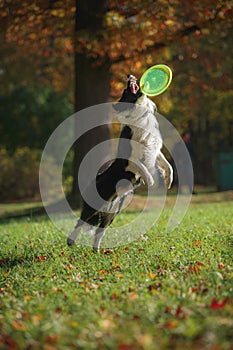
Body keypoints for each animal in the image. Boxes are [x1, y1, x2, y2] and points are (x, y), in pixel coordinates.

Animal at [67, 74, 173, 250]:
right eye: (125, 91)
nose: (129, 75)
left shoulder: (154, 150)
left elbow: (168, 165)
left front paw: (168, 181)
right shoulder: (128, 160)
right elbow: (143, 167)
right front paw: (150, 181)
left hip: (111, 214)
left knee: (99, 232)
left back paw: (97, 251)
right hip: (94, 206)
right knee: (80, 222)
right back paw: (71, 241)